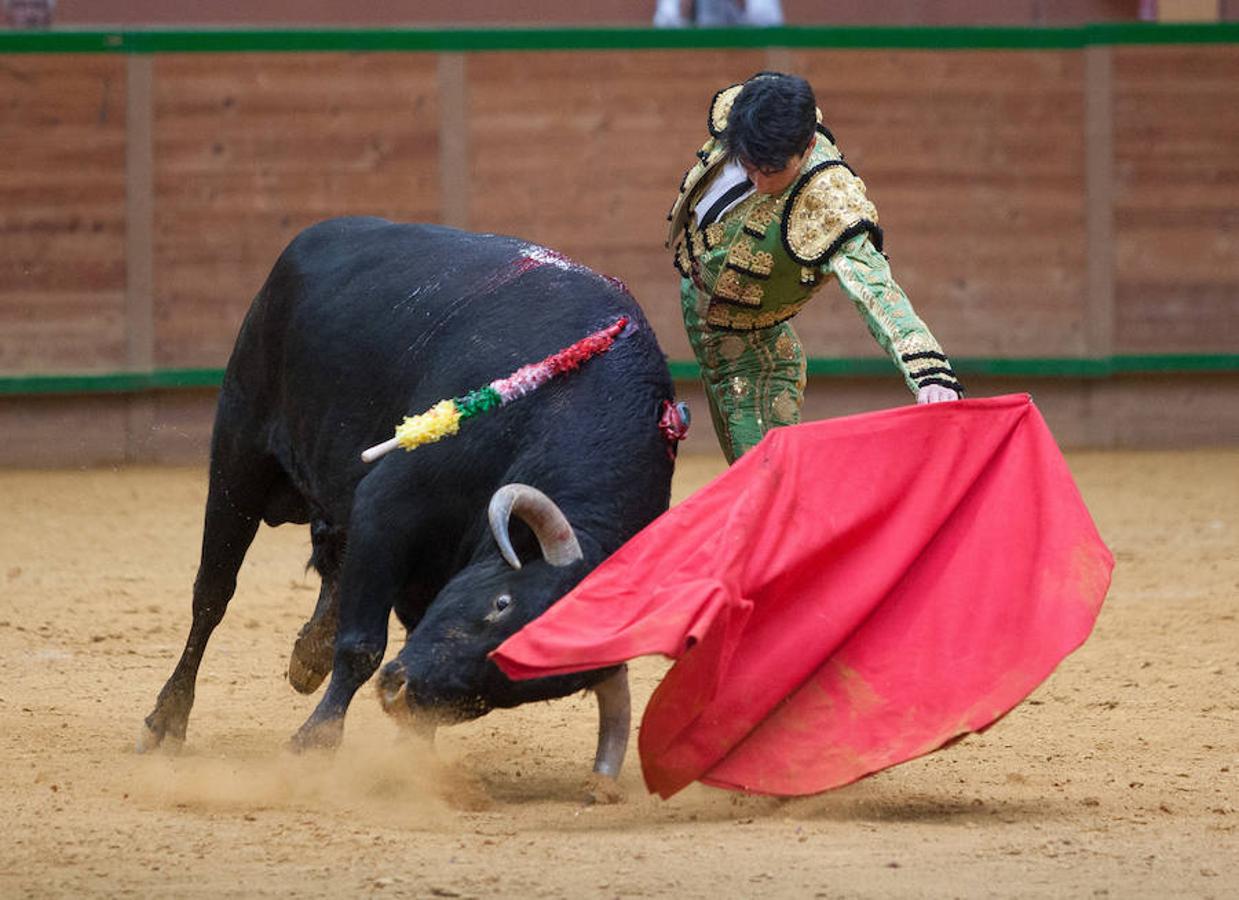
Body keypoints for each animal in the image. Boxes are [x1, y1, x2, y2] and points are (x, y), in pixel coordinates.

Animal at [140, 216, 678, 773]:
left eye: (523, 684)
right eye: (502, 603)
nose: (401, 691)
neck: (559, 406)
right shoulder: (387, 506)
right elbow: (362, 645)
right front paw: (315, 741)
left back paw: (308, 653)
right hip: (239, 452)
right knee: (212, 594)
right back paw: (167, 719)